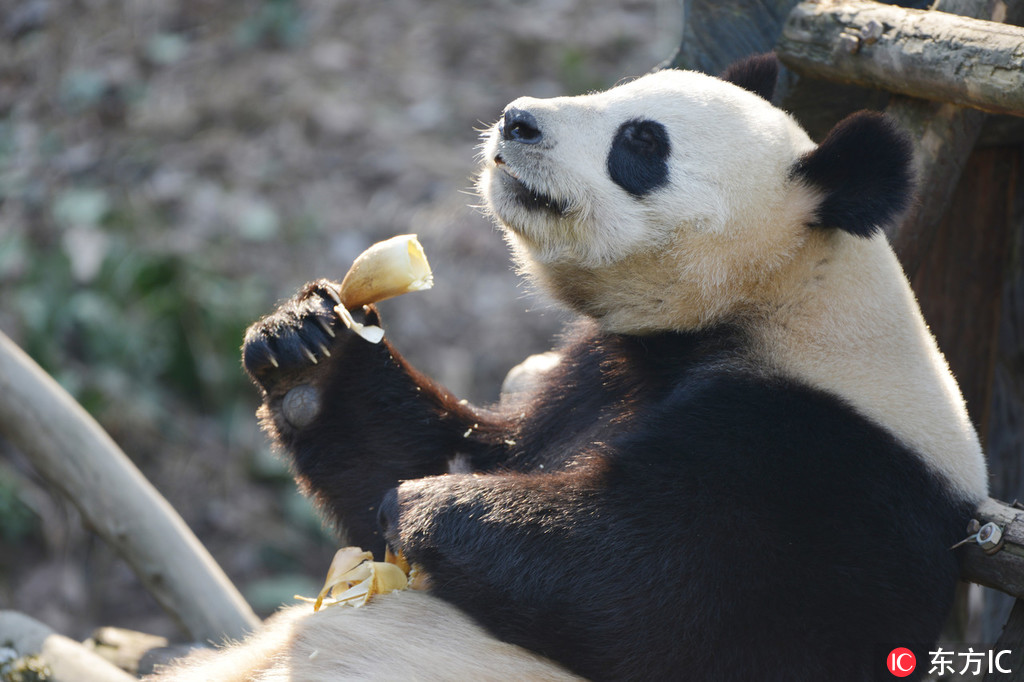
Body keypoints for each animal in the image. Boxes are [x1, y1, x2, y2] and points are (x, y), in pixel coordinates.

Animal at [149, 54, 983, 679]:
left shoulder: (826, 470)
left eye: (641, 142)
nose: (518, 120)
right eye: (615, 93)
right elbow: (440, 454)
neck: (775, 300)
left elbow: (654, 597)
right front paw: (307, 347)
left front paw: (429, 508)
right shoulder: (596, 370)